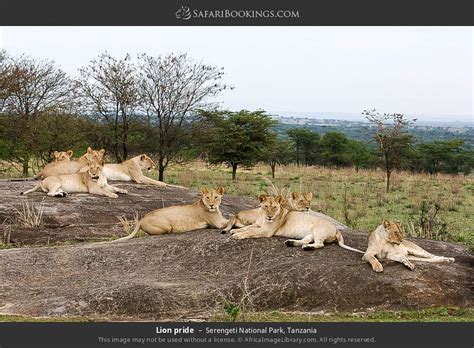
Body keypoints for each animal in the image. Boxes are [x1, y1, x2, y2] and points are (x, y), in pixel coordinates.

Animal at [231, 193, 362, 253]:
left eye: (274, 207)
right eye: (266, 206)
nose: (270, 216)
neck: (263, 218)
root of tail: (337, 229)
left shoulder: (266, 231)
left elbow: (251, 231)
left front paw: (238, 235)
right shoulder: (258, 224)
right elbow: (248, 227)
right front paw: (234, 230)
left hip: (318, 230)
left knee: (320, 244)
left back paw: (307, 248)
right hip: (310, 234)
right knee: (306, 240)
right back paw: (291, 243)